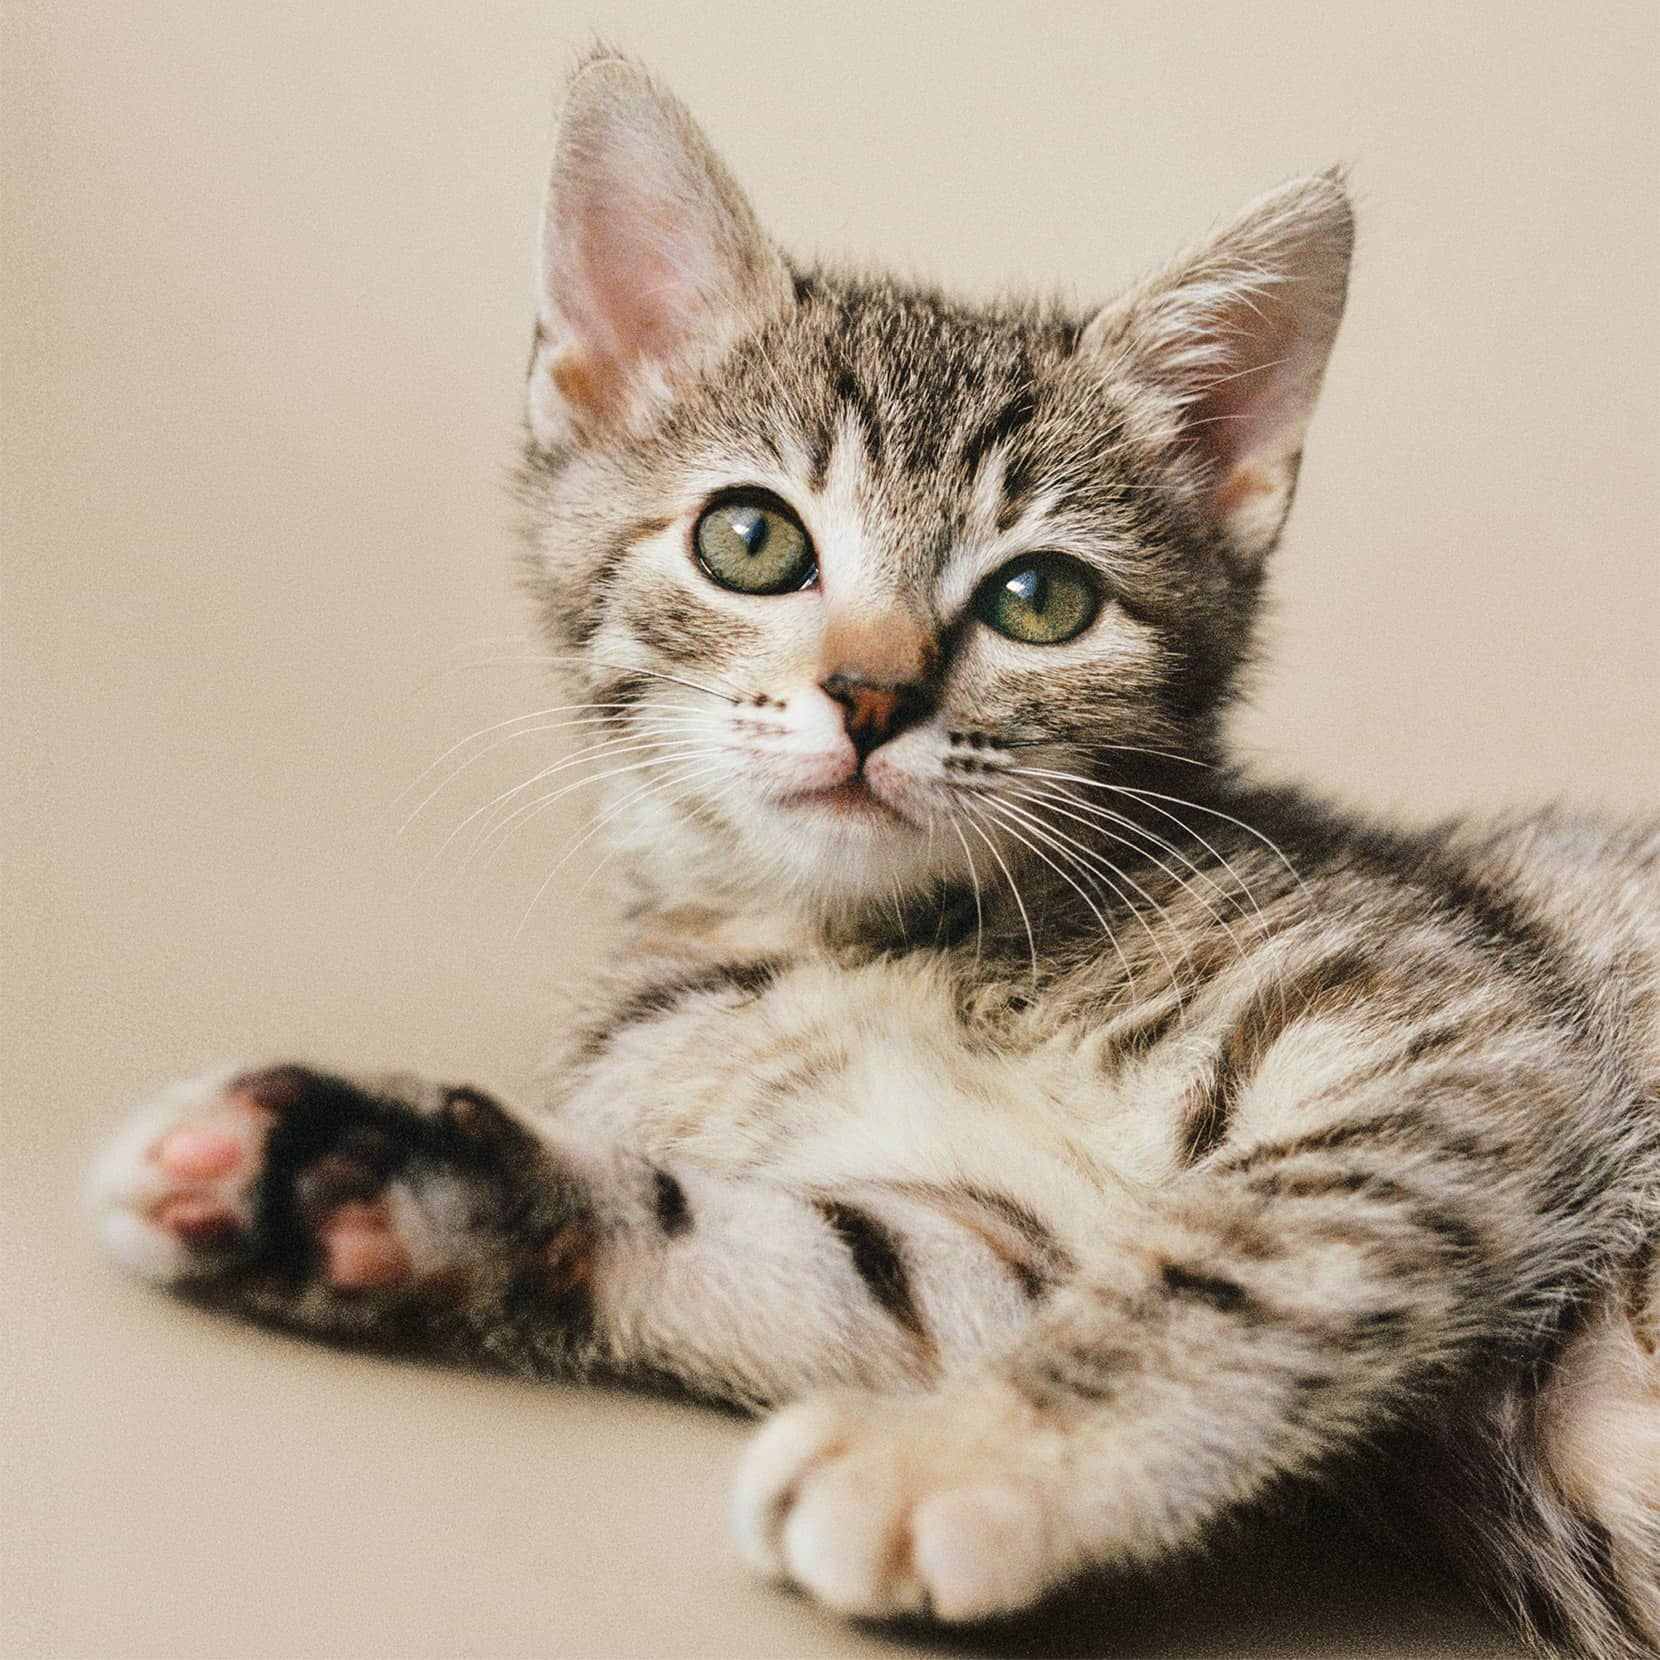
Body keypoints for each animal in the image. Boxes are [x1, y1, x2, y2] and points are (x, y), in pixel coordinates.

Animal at [94, 51, 1660, 1660]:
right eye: (750, 540)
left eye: (1041, 600)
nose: (870, 695)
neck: (880, 942)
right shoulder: (1000, 1253)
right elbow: (816, 1253)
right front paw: (360, 1176)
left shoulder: (1463, 1045)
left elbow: (1236, 1260)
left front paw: (961, 1458)